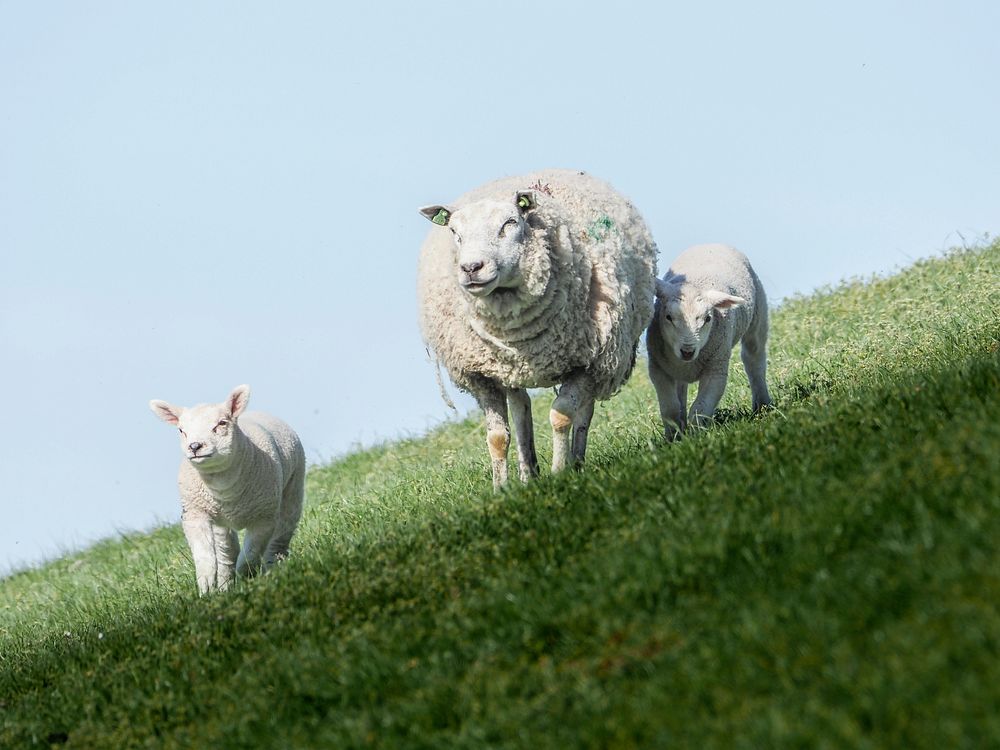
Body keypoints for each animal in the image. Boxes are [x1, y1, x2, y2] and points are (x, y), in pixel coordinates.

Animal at [148, 388, 304, 592]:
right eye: (181, 430)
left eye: (222, 423)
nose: (195, 446)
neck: (224, 487)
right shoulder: (195, 514)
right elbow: (205, 558)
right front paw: (206, 588)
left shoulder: (264, 518)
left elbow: (249, 558)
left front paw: (247, 581)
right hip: (220, 522)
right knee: (226, 554)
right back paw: (224, 586)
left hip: (292, 491)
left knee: (278, 541)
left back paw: (273, 571)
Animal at [418, 167, 660, 490]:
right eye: (455, 232)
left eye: (509, 223)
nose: (471, 268)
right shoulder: (481, 374)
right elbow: (497, 436)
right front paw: (500, 489)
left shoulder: (586, 360)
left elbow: (562, 416)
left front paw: (559, 472)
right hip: (508, 369)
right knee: (521, 408)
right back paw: (528, 473)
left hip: (601, 360)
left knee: (584, 410)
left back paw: (576, 462)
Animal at [644, 244, 776, 438]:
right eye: (668, 317)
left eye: (708, 318)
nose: (688, 351)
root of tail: (711, 243)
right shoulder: (657, 369)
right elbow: (670, 409)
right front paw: (674, 437)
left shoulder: (716, 369)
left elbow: (700, 408)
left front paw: (697, 436)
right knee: (681, 388)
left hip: (758, 315)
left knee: (754, 359)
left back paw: (763, 405)